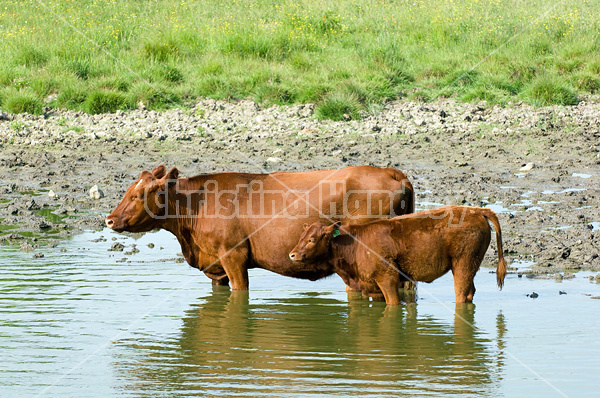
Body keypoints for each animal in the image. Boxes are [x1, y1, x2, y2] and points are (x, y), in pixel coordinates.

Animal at [104, 163, 412, 290]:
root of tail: (391, 172)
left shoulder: (234, 256)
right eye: (128, 191)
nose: (109, 219)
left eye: (138, 195)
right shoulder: (216, 266)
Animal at [288, 205, 504, 304]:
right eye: (301, 236)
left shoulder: (388, 279)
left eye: (312, 239)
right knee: (470, 292)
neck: (355, 242)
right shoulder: (372, 286)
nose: (292, 255)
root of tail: (477, 210)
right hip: (469, 267)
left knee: (461, 293)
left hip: (463, 266)